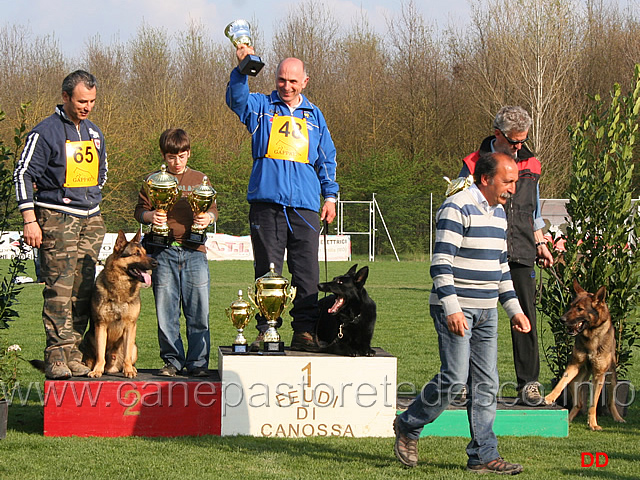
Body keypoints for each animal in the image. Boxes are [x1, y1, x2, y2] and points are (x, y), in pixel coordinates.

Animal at [79, 230, 157, 378]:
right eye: (136, 253)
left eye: (145, 252)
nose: (156, 263)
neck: (121, 287)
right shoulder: (101, 325)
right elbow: (100, 354)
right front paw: (97, 370)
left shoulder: (130, 326)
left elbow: (126, 355)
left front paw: (129, 371)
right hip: (88, 338)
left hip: (134, 347)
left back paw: (132, 368)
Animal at [544, 280, 628, 430]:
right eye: (571, 306)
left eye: (580, 309)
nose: (562, 319)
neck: (590, 336)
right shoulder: (573, 365)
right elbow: (560, 383)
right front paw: (549, 397)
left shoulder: (599, 375)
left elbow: (593, 404)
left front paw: (593, 424)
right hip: (575, 382)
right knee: (578, 403)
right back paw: (568, 418)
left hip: (611, 379)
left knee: (610, 402)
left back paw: (618, 418)